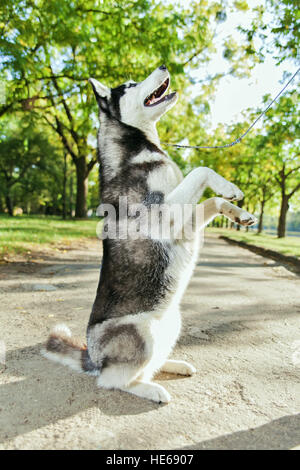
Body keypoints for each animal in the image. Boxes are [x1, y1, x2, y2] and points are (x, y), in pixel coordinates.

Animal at [42, 65, 258, 404]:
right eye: (130, 84)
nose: (164, 66)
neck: (141, 146)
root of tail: (93, 356)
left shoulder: (185, 221)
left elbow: (211, 199)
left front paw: (240, 212)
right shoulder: (164, 216)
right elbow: (202, 170)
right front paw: (229, 186)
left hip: (171, 322)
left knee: (149, 364)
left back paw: (174, 365)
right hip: (139, 332)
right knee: (112, 380)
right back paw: (151, 389)